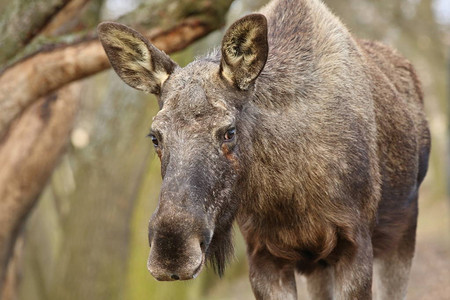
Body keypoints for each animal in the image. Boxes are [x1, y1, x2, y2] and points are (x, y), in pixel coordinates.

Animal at [97, 0, 428, 298]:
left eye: (229, 131)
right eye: (155, 136)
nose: (172, 252)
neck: (286, 196)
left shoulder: (355, 243)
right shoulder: (263, 254)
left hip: (403, 230)